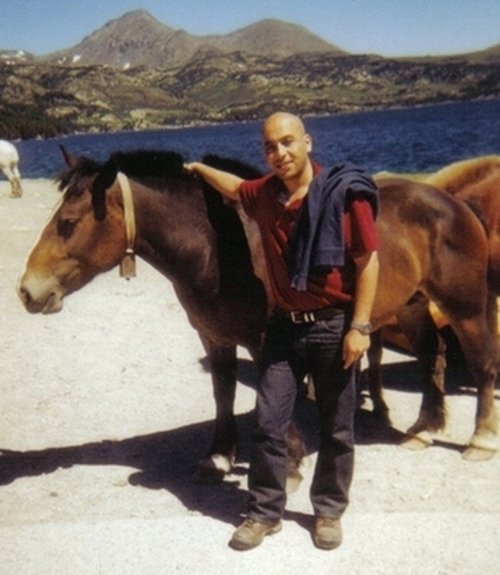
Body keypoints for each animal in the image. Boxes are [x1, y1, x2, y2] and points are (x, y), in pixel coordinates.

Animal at [17, 148, 498, 468]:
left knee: (481, 365)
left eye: (68, 223)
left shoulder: (266, 340)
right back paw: (423, 430)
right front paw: (220, 454)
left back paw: (479, 440)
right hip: (414, 307)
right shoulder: (214, 337)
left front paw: (287, 458)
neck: (218, 246)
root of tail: (456, 203)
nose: (26, 291)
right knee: (434, 355)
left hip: (466, 308)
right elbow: (224, 391)